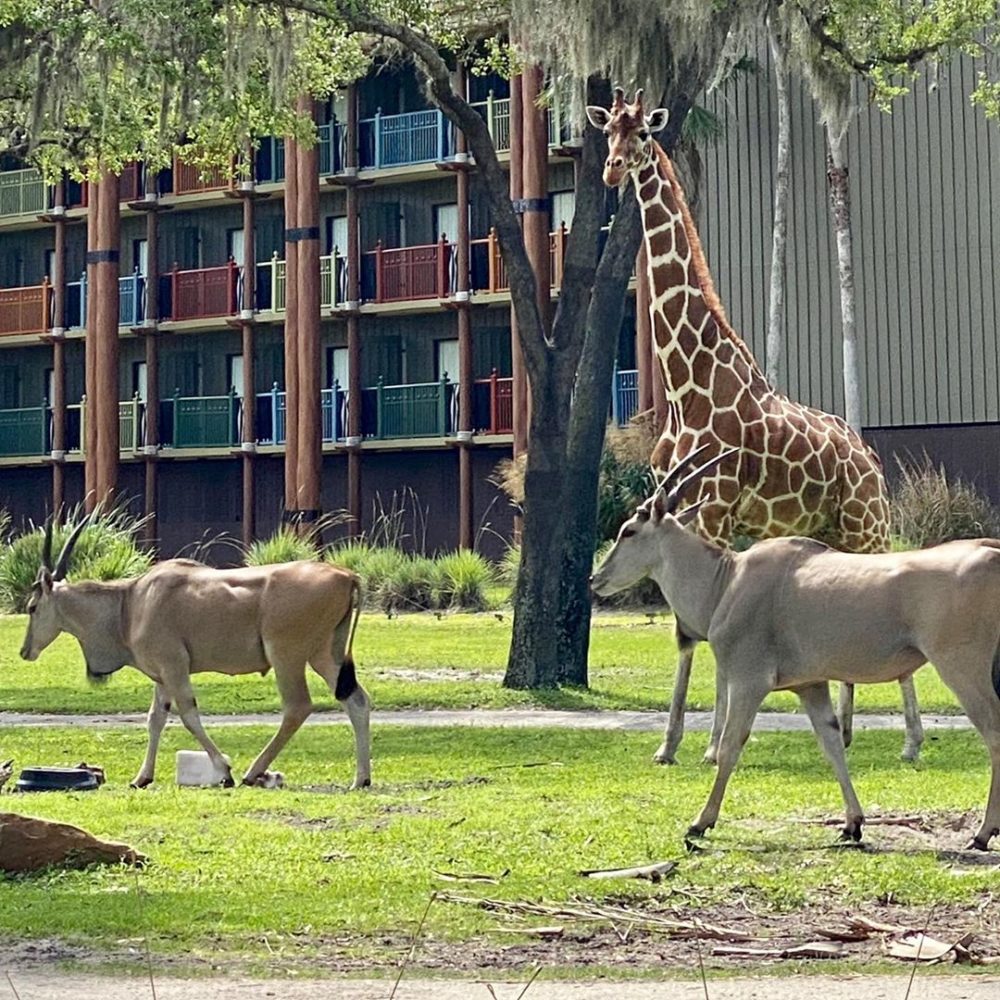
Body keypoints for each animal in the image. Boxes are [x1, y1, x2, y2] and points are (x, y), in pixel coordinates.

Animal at [18, 520, 372, 792]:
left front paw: (224, 771)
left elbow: (188, 714)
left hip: (287, 657)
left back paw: (253, 772)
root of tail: (347, 576)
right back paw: (361, 779)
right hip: (324, 656)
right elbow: (155, 719)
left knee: (297, 707)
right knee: (356, 700)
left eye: (32, 607)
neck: (129, 603)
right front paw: (141, 778)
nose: (25, 651)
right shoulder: (162, 676)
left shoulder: (174, 666)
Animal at [584, 92, 920, 764]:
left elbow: (702, 626)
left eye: (641, 134)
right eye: (607, 131)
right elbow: (685, 631)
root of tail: (868, 457)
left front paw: (712, 745)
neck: (687, 383)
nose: (611, 170)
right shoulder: (678, 505)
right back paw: (848, 728)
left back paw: (912, 741)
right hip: (831, 529)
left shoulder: (714, 507)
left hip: (866, 523)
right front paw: (669, 746)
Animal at [588, 450, 1000, 848]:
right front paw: (852, 824)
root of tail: (991, 551)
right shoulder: (810, 685)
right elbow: (831, 742)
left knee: (993, 730)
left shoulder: (749, 681)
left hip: (961, 667)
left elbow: (729, 745)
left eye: (629, 530)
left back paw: (982, 833)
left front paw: (700, 822)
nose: (595, 578)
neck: (725, 580)